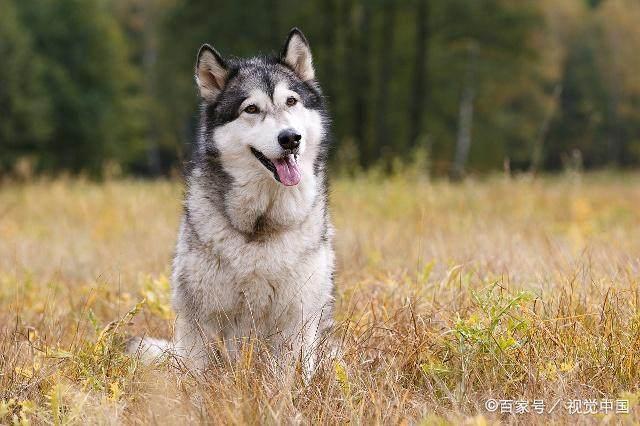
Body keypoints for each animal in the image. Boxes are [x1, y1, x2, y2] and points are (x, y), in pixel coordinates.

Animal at [126, 28, 336, 378]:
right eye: (251, 109)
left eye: (291, 101)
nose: (290, 138)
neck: (262, 226)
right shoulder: (202, 320)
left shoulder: (299, 317)